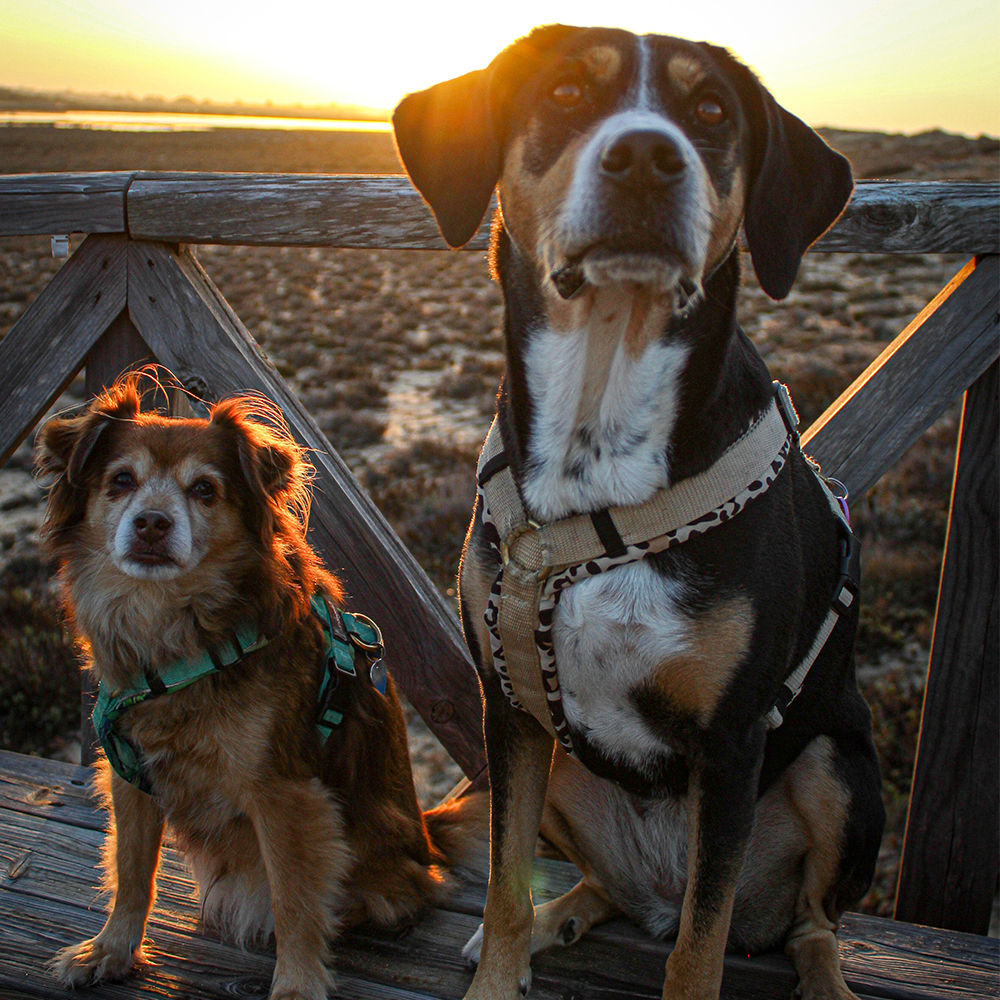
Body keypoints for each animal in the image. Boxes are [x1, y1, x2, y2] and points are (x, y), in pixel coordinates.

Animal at [37, 378, 478, 996]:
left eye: (204, 490)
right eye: (120, 480)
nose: (151, 523)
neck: (174, 634)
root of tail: (426, 837)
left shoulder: (281, 791)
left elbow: (294, 899)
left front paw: (296, 983)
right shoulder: (130, 775)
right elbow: (131, 872)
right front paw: (112, 949)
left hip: (379, 861)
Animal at [392, 19, 884, 1000]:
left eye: (711, 112)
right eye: (568, 93)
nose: (651, 158)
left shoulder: (732, 743)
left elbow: (699, 948)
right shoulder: (509, 712)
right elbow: (502, 887)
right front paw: (501, 961)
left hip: (840, 769)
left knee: (808, 924)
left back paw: (824, 977)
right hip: (564, 773)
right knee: (601, 888)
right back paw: (565, 914)